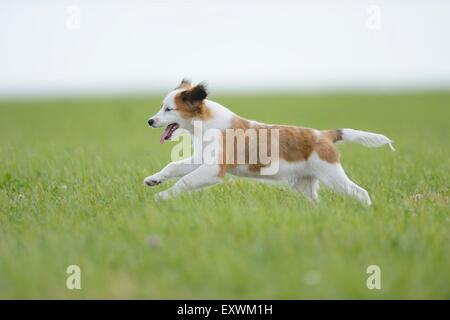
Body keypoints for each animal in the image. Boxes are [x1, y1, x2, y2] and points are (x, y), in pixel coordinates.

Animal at [144, 80, 394, 205]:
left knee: (360, 193)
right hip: (304, 184)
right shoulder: (202, 159)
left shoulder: (214, 169)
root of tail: (324, 135)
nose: (150, 121)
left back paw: (368, 211)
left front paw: (162, 197)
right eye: (161, 107)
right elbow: (173, 167)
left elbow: (184, 181)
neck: (206, 123)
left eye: (169, 109)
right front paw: (154, 180)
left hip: (333, 177)